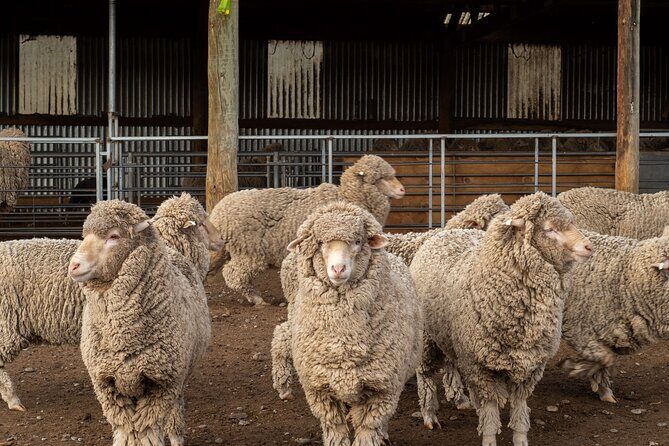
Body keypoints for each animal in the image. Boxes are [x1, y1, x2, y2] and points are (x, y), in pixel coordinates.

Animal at [68, 200, 211, 446]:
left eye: (114, 236)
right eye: (85, 235)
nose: (74, 266)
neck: (122, 336)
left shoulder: (162, 384)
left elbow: (146, 432)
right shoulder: (107, 385)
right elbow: (126, 431)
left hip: (180, 376)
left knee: (175, 410)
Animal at [208, 154, 405, 306]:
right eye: (380, 178)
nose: (403, 190)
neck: (347, 196)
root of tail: (219, 212)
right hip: (249, 250)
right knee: (234, 274)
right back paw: (257, 299)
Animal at [272, 201, 422, 446]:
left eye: (358, 241)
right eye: (320, 243)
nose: (338, 269)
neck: (344, 339)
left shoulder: (381, 390)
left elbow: (369, 429)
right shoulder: (320, 391)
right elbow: (335, 429)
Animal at [410, 192, 592, 446]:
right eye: (549, 229)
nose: (588, 246)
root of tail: (448, 231)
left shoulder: (529, 365)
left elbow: (519, 407)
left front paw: (520, 437)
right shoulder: (481, 365)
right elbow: (490, 409)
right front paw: (488, 436)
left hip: (450, 335)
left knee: (450, 363)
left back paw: (462, 400)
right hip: (427, 337)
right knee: (425, 373)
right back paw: (429, 414)